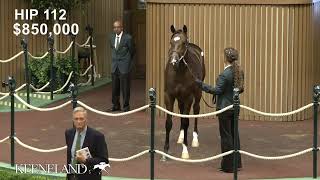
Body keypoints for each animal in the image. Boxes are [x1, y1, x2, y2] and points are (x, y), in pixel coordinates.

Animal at [164, 25, 206, 159]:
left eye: (183, 43)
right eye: (171, 42)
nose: (173, 61)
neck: (179, 72)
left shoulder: (188, 97)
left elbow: (186, 121)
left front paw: (185, 151)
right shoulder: (169, 96)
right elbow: (169, 122)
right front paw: (165, 151)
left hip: (197, 94)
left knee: (196, 111)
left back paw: (194, 139)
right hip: (180, 98)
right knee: (182, 112)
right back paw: (181, 137)